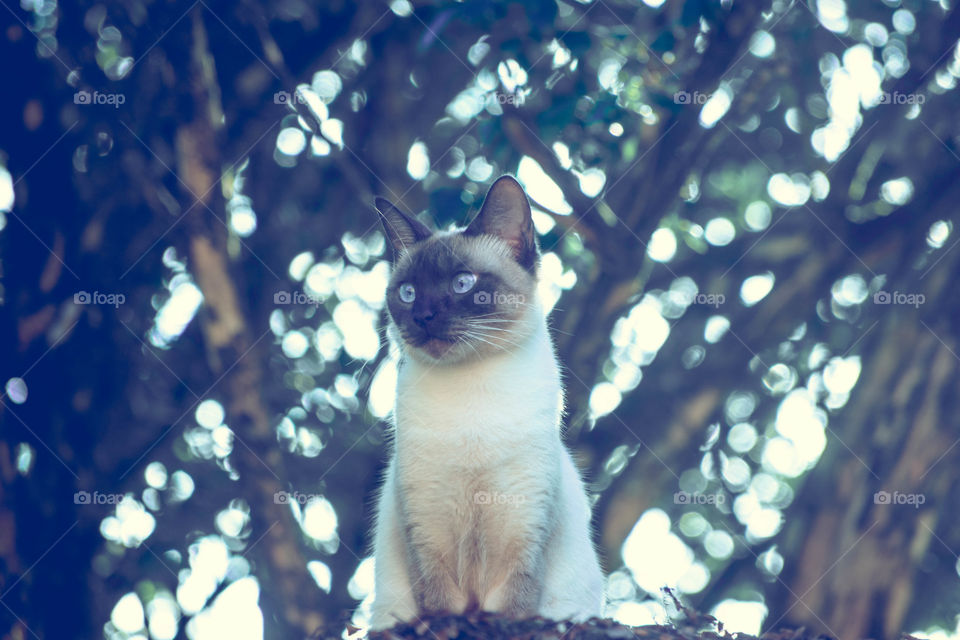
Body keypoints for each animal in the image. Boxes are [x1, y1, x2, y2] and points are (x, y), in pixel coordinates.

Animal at [368, 175, 600, 632]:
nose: (422, 317)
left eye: (463, 283)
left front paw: (500, 624)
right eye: (408, 292)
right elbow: (440, 603)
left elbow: (512, 606)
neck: (472, 397)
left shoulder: (524, 520)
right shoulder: (425, 521)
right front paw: (448, 626)